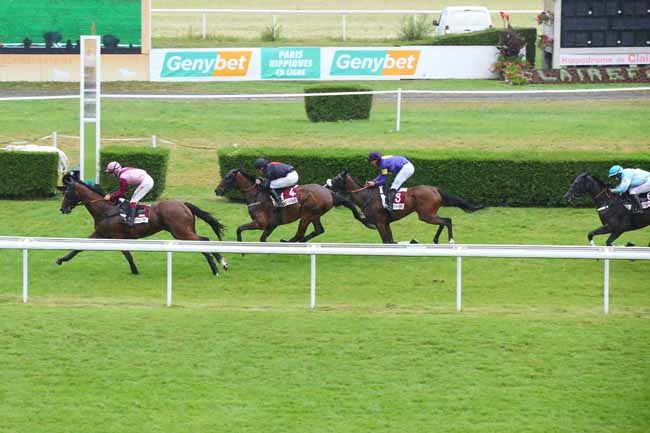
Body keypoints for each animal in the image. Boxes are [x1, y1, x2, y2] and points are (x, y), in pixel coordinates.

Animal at [57, 175, 228, 274]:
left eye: (67, 194)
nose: (62, 209)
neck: (106, 209)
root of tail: (183, 204)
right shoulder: (100, 233)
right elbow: (78, 247)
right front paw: (61, 259)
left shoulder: (117, 237)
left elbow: (127, 254)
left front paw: (134, 270)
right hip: (185, 230)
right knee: (205, 239)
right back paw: (221, 263)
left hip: (180, 232)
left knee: (202, 242)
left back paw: (216, 268)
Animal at [215, 168, 372, 241]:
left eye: (227, 177)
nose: (217, 190)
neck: (256, 195)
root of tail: (329, 192)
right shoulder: (271, 225)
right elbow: (262, 239)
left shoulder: (260, 223)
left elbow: (239, 229)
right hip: (315, 215)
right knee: (318, 230)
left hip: (306, 214)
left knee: (300, 233)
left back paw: (288, 241)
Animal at [324, 169, 480, 243]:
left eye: (337, 179)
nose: (326, 186)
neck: (366, 196)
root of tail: (435, 189)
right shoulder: (386, 223)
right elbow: (390, 240)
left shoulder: (380, 223)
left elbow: (386, 241)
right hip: (429, 214)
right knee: (443, 221)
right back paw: (436, 240)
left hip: (425, 215)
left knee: (447, 220)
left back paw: (450, 240)